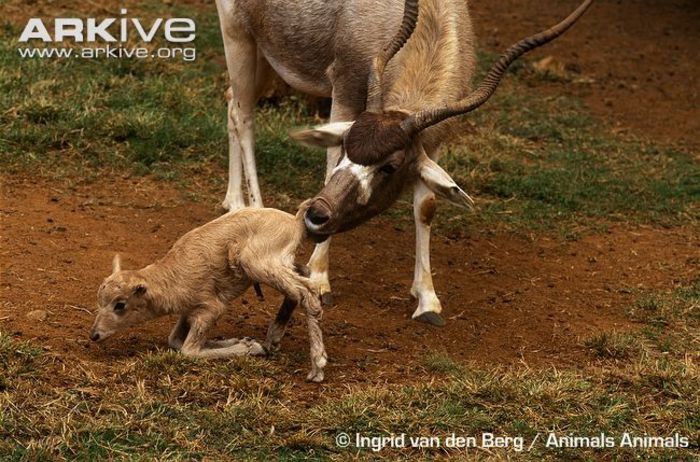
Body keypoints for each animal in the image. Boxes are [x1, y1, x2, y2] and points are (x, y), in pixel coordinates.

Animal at [90, 208, 328, 380]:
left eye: (120, 305)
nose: (94, 335)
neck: (171, 281)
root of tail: (295, 222)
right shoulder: (188, 312)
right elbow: (174, 340)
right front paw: (244, 340)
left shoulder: (211, 309)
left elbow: (189, 351)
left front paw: (250, 347)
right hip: (278, 264)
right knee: (304, 275)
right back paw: (274, 338)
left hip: (259, 264)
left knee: (309, 292)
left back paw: (317, 365)